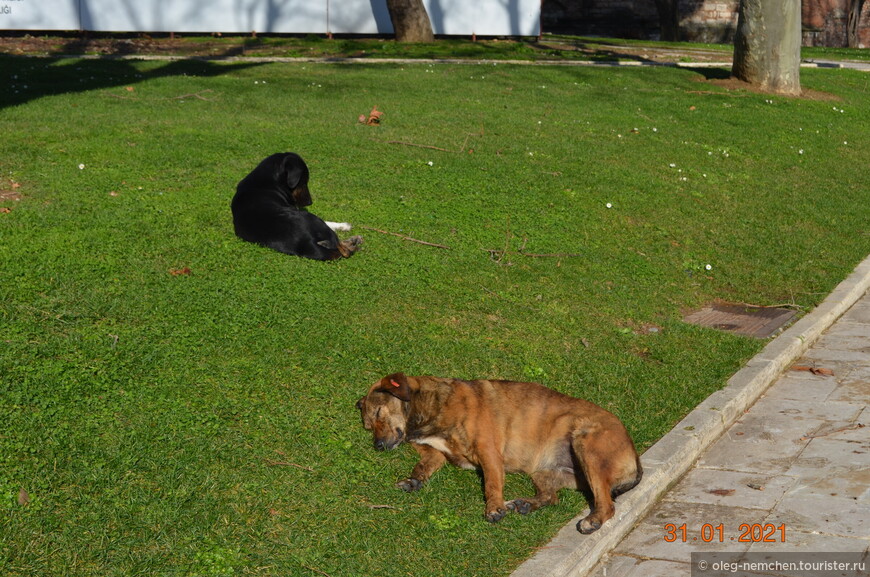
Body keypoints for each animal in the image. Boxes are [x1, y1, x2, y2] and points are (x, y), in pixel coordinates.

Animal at [230, 153, 362, 260]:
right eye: (304, 181)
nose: (310, 202)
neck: (266, 180)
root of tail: (306, 241)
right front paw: (344, 226)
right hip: (313, 219)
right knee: (343, 249)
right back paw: (353, 241)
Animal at [358, 374, 644, 532]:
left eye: (379, 413)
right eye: (368, 426)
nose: (378, 446)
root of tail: (634, 454)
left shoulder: (489, 453)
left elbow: (492, 484)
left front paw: (494, 507)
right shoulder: (436, 453)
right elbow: (423, 466)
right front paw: (413, 480)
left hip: (587, 447)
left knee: (607, 504)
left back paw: (592, 520)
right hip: (544, 472)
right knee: (552, 497)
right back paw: (527, 503)